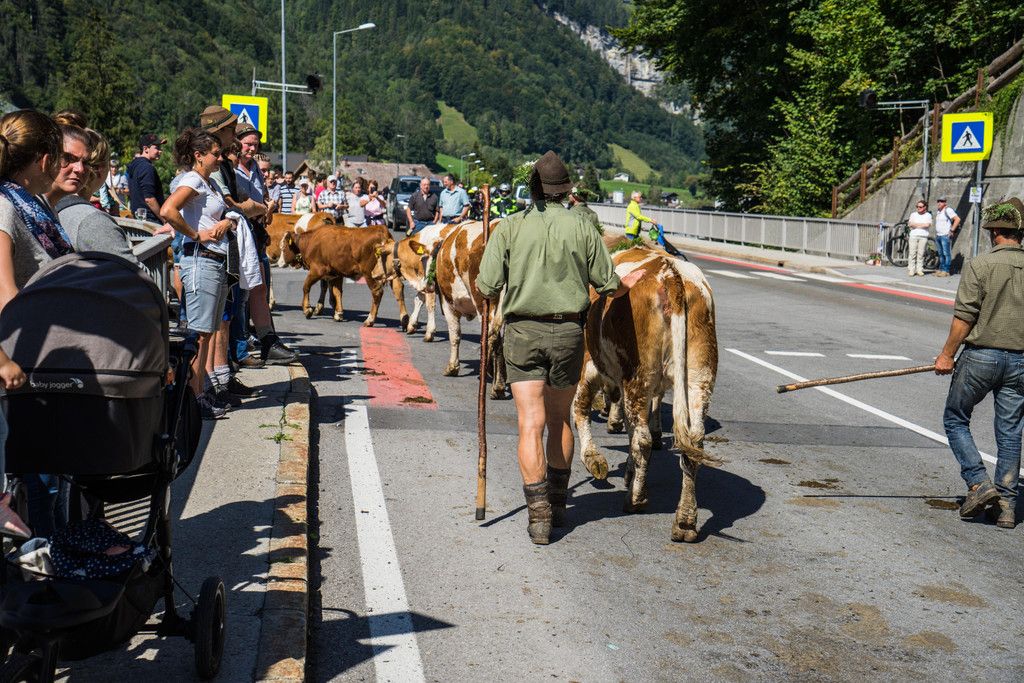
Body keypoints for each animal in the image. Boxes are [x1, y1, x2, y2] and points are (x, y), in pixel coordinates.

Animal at [280, 224, 409, 328]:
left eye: (283, 247)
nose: (279, 262)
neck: (310, 242)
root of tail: (381, 229)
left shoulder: (317, 270)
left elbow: (306, 287)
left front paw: (307, 309)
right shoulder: (336, 274)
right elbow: (337, 292)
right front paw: (338, 313)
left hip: (369, 273)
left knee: (377, 292)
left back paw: (370, 320)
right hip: (390, 271)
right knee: (398, 288)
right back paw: (405, 319)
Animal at [397, 220, 507, 398]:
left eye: (425, 260)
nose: (426, 284)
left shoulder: (448, 304)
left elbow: (455, 334)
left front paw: (452, 367)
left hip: (483, 302)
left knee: (492, 336)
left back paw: (495, 384)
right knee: (498, 338)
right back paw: (499, 382)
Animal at [572, 246, 718, 543]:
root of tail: (671, 274)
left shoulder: (590, 366)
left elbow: (579, 408)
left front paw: (594, 460)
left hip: (639, 375)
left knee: (643, 439)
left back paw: (636, 500)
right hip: (699, 377)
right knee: (694, 444)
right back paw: (685, 521)